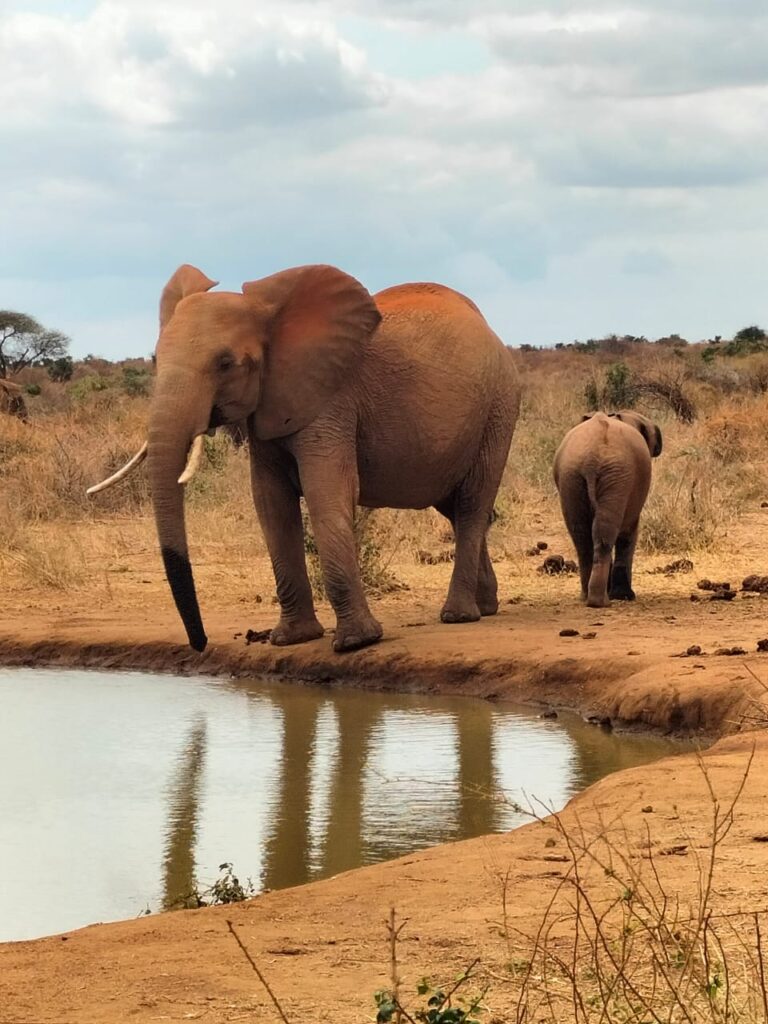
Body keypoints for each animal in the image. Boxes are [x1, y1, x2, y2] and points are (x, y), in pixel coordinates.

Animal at [90, 262, 524, 647]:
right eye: (156, 359)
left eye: (226, 364)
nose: (200, 643)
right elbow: (270, 503)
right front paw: (291, 640)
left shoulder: (331, 399)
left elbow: (325, 492)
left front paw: (356, 642)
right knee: (454, 507)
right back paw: (486, 606)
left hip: (499, 405)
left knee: (471, 504)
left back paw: (459, 615)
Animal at [557, 411, 663, 606]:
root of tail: (592, 459)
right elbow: (629, 533)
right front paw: (625, 596)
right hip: (617, 474)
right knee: (605, 535)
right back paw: (601, 601)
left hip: (573, 475)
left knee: (584, 537)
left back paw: (589, 598)